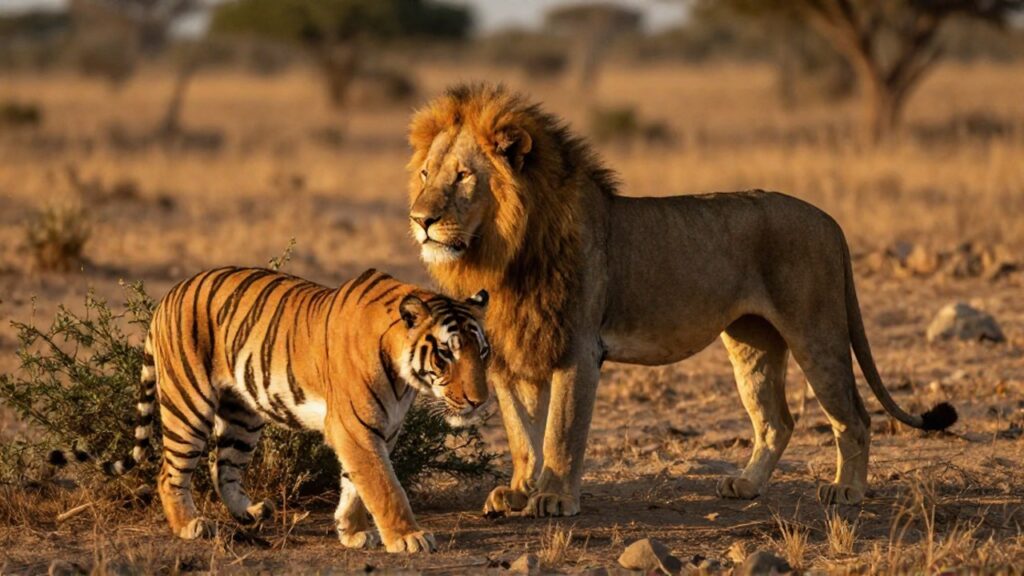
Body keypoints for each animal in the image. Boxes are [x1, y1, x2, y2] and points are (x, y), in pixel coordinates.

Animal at [50, 267, 490, 553]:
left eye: (482, 352)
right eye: (447, 354)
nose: (478, 401)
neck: (404, 376)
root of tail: (169, 295)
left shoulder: (380, 430)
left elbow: (355, 484)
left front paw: (350, 531)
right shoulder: (355, 428)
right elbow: (384, 486)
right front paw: (407, 537)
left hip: (243, 416)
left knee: (221, 466)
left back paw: (249, 513)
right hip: (188, 406)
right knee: (169, 472)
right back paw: (190, 526)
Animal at [406, 83, 956, 517]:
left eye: (463, 176)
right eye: (426, 174)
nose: (419, 219)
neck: (504, 253)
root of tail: (830, 220)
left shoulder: (578, 348)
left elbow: (561, 431)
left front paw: (555, 498)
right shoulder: (512, 352)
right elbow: (522, 434)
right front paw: (519, 492)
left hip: (815, 332)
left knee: (854, 417)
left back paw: (847, 491)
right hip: (752, 342)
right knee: (777, 421)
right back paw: (747, 485)